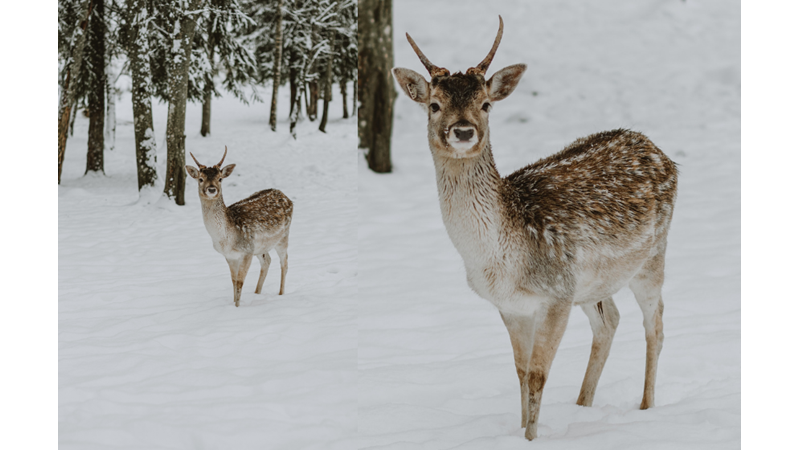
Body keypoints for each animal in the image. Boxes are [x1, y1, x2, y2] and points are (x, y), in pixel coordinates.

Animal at [185, 149, 294, 308]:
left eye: (220, 179)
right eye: (200, 179)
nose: (211, 189)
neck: (226, 239)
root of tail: (286, 196)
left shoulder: (246, 251)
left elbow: (240, 282)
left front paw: (237, 307)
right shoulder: (230, 255)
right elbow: (234, 281)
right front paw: (234, 304)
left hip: (283, 236)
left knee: (284, 262)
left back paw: (281, 293)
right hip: (261, 247)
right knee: (267, 260)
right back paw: (257, 292)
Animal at [392, 16, 676, 440]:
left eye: (486, 104)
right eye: (434, 104)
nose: (463, 131)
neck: (501, 260)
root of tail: (659, 150)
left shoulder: (556, 294)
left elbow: (539, 375)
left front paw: (531, 437)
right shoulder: (511, 305)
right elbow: (522, 373)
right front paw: (520, 430)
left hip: (652, 255)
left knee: (654, 323)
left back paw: (646, 406)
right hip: (593, 284)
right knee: (609, 320)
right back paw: (583, 404)